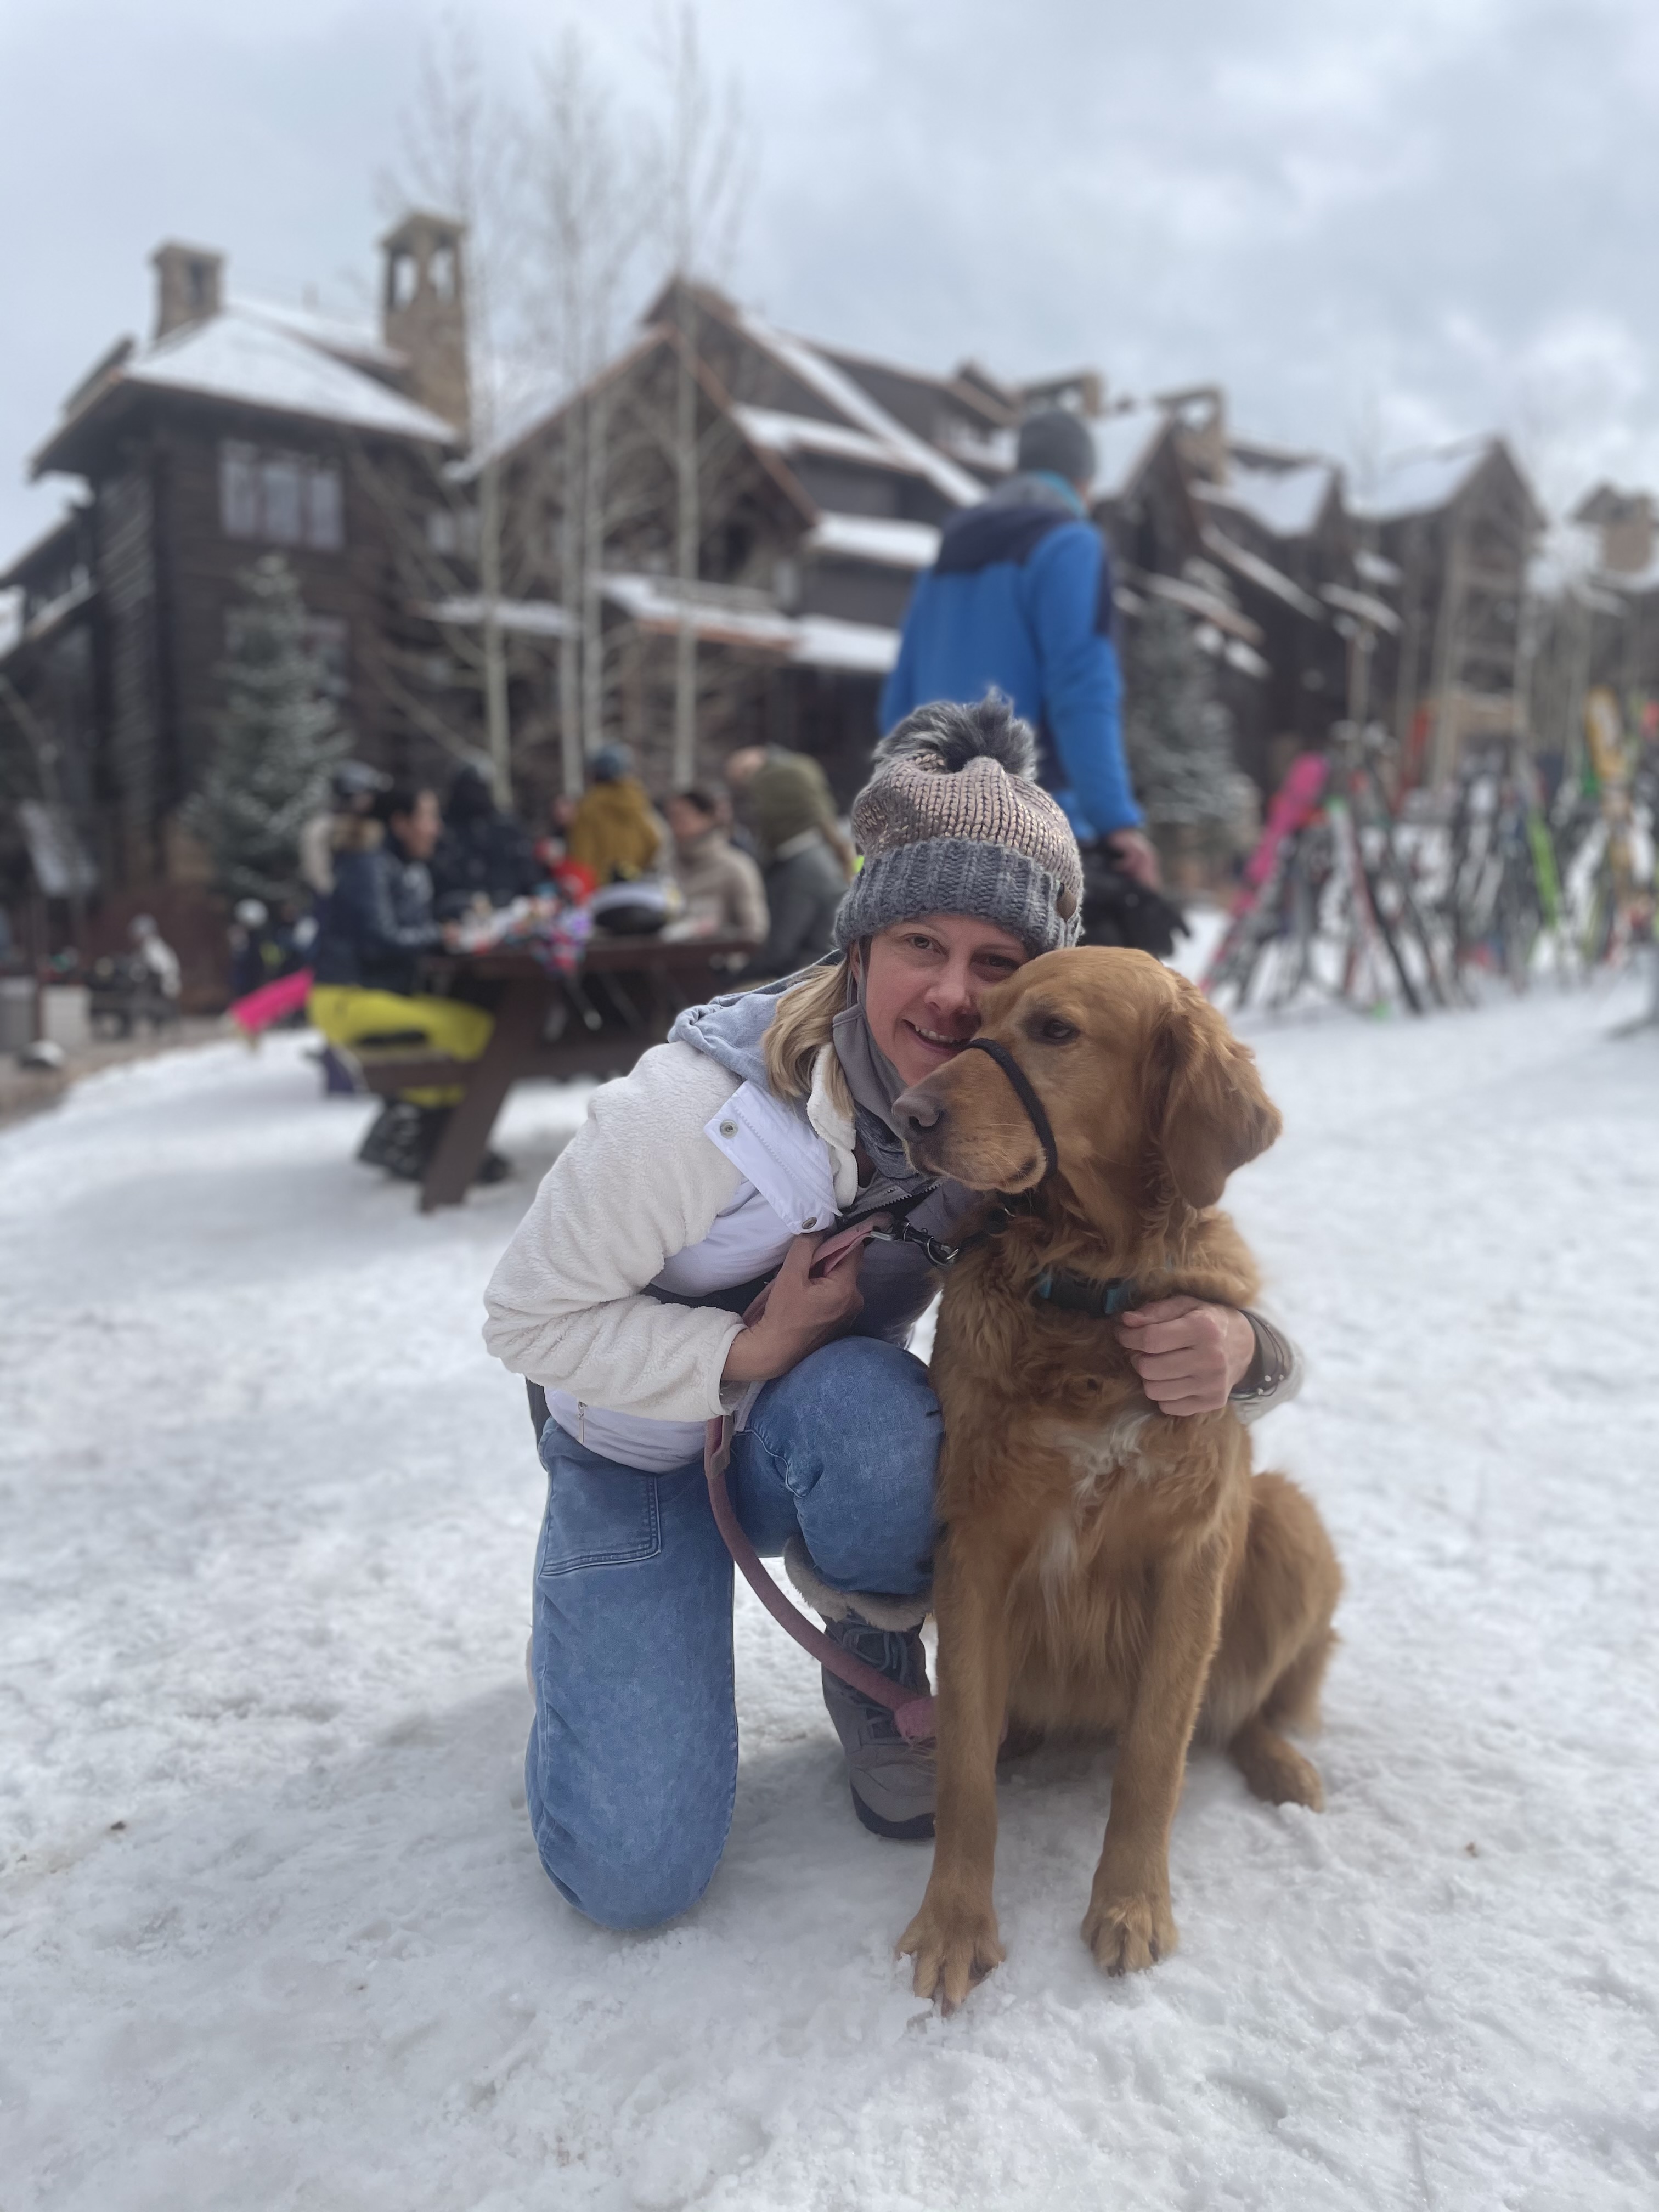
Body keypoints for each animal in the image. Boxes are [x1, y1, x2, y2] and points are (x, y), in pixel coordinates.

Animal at [891, 946, 1341, 2008]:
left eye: (1055, 1031)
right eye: (975, 1023)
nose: (905, 1113)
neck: (1088, 1287)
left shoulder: (1189, 1552)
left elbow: (1153, 1754)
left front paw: (1131, 1906)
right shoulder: (973, 1545)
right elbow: (964, 1771)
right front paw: (954, 1922)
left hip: (1288, 1522)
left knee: (1243, 1711)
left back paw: (1284, 1767)